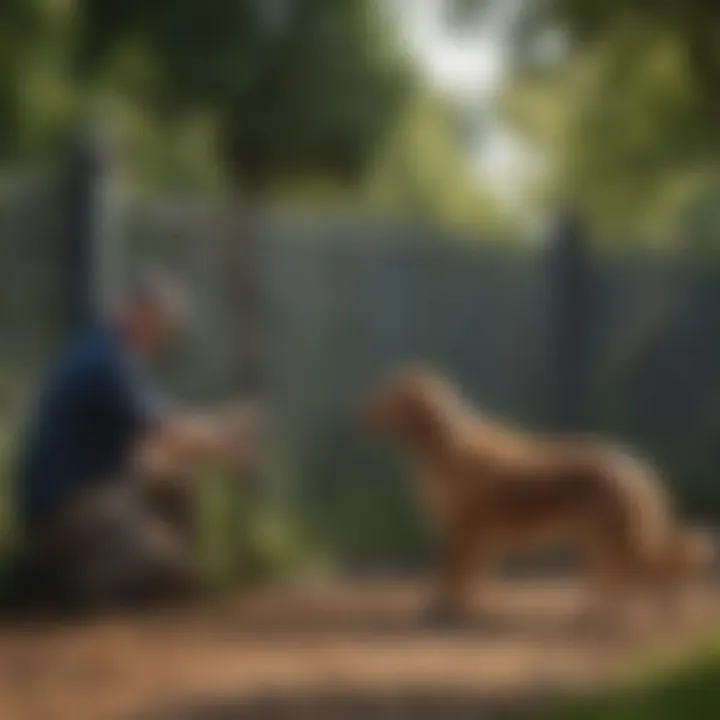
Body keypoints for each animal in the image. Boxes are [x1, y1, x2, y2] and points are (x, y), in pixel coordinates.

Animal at [362, 366, 712, 624]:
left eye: (387, 395)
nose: (360, 410)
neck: (440, 446)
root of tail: (635, 464)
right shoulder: (477, 534)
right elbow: (474, 574)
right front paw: (471, 606)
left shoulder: (462, 529)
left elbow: (454, 572)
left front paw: (446, 608)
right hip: (598, 540)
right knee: (630, 575)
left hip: (608, 538)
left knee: (635, 575)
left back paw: (610, 617)